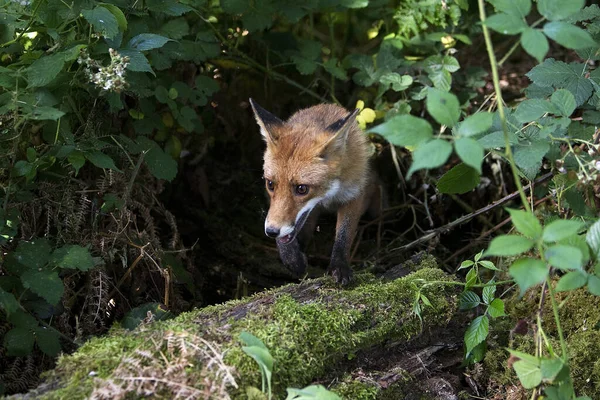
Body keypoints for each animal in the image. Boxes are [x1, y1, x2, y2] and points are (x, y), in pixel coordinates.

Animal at [250, 98, 380, 282]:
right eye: (270, 184)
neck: (328, 194)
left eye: (302, 189)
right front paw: (293, 260)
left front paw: (339, 266)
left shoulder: (354, 195)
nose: (271, 231)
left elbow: (344, 235)